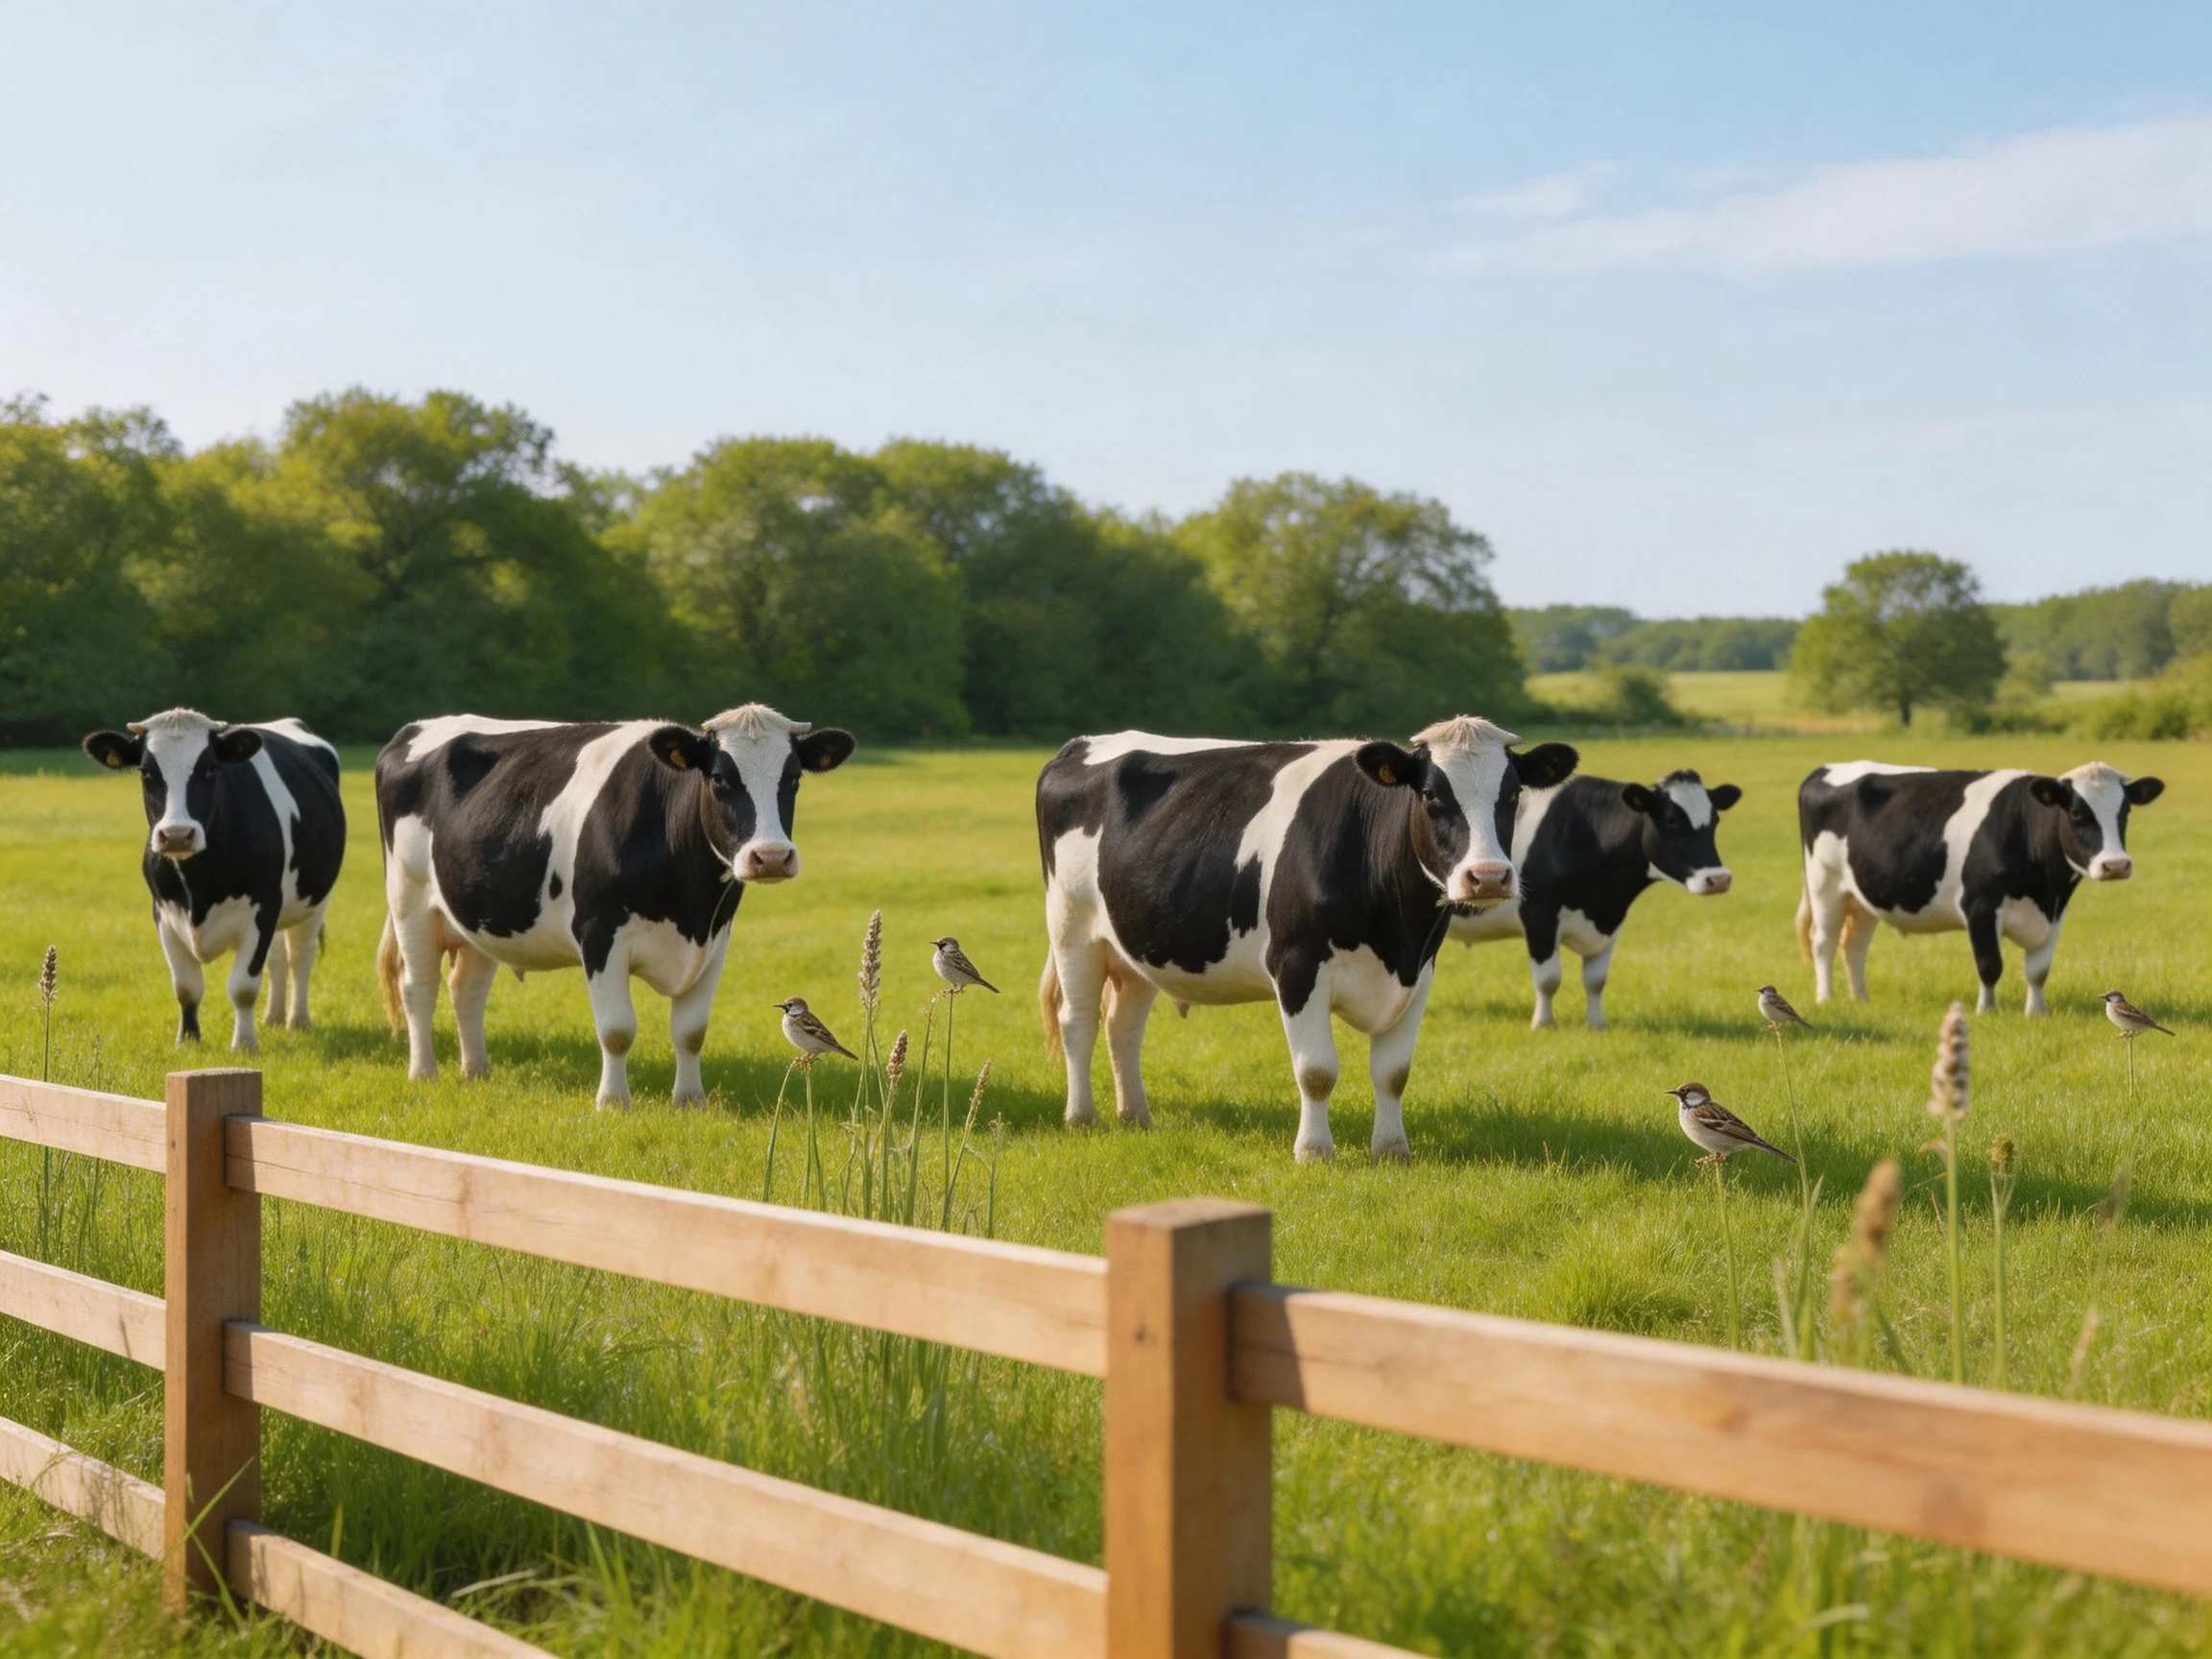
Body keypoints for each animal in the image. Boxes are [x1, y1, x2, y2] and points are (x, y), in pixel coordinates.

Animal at [81, 710, 345, 1049]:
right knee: (276, 959)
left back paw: (297, 1021)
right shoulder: (163, 912)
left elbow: (243, 986)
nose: (177, 834)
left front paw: (244, 1045)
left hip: (315, 901)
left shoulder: (264, 905)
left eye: (210, 768)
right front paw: (187, 1040)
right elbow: (185, 986)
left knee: (300, 956)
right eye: (144, 770)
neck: (199, 888)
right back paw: (272, 1018)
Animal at [374, 704, 855, 1106]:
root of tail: (415, 728)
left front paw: (690, 1101)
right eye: (719, 778)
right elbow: (617, 1030)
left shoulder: (716, 938)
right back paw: (424, 1073)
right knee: (419, 987)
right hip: (408, 897)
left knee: (467, 991)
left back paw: (477, 1072)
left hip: (479, 916)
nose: (770, 856)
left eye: (793, 778)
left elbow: (692, 1032)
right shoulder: (601, 933)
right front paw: (613, 1102)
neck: (688, 907)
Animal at [1035, 717, 1579, 1161]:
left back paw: (1136, 1118)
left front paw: (1392, 1150)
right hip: (1071, 926)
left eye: (1513, 796)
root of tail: (1083, 743)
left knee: (1123, 1027)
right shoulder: (1297, 965)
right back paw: (1082, 1118)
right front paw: (1314, 1150)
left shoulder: (1420, 971)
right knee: (1078, 1022)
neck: (1394, 934)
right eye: (1430, 795)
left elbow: (1394, 1072)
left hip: (1137, 943)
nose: (1487, 877)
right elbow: (1317, 1071)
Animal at [1449, 769, 1741, 1028]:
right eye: (1671, 820)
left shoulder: (1611, 921)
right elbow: (1548, 979)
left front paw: (1597, 1024)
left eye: (1715, 820)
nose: (1718, 879)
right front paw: (1543, 1024)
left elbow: (1596, 980)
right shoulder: (1539, 917)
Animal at [1797, 760, 2164, 1014]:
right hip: (1824, 883)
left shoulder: (2055, 914)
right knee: (1824, 942)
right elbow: (1990, 965)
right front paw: (1987, 1010)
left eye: (2126, 810)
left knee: (1854, 945)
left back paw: (1861, 998)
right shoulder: (1980, 906)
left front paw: (2037, 1012)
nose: (2115, 865)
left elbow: (2038, 971)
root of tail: (1826, 769)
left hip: (1862, 896)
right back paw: (1826, 998)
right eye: (2075, 811)